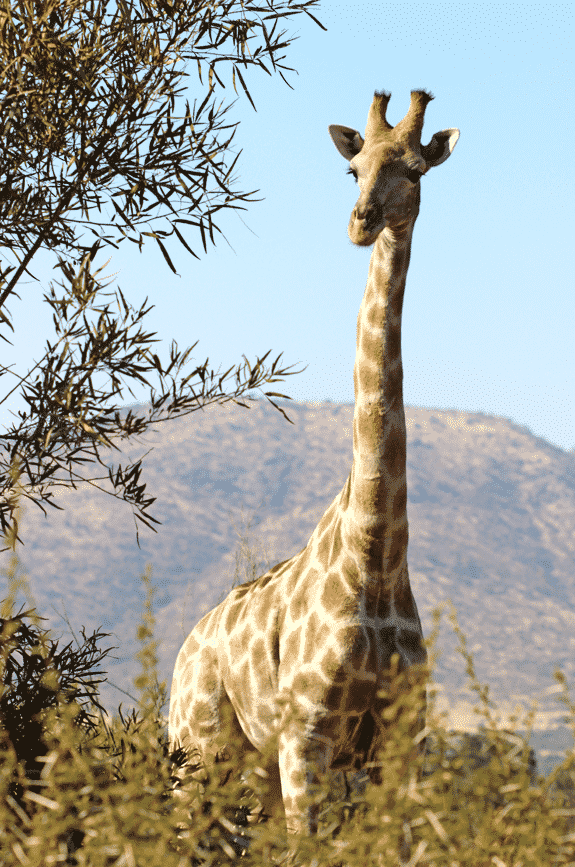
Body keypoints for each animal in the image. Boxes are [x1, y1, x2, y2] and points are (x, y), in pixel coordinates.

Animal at [169, 90, 462, 856]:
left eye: (414, 168)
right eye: (351, 168)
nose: (360, 222)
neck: (377, 551)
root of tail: (184, 649)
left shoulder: (401, 746)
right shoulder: (307, 737)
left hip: (253, 772)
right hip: (200, 755)